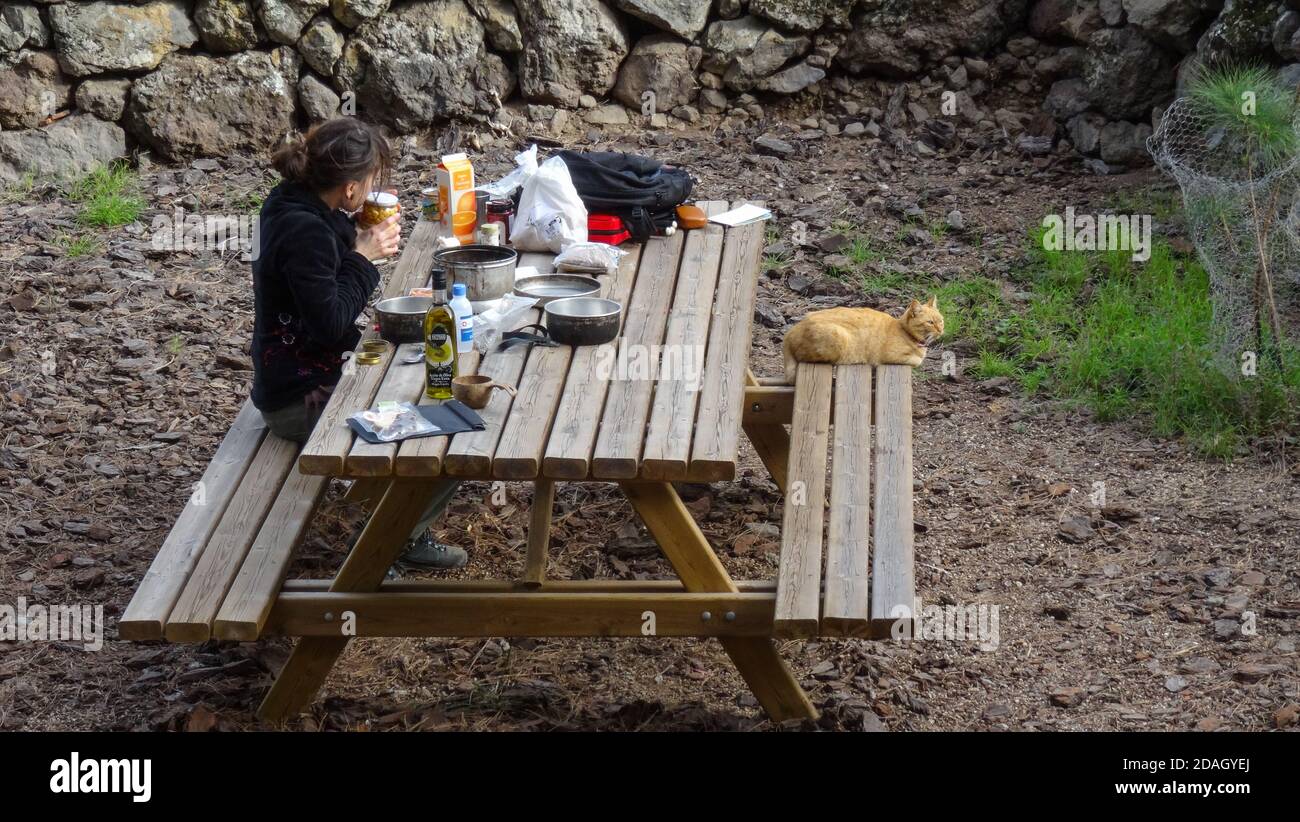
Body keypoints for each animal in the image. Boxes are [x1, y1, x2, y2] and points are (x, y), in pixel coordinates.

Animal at [780, 296, 946, 379]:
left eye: (941, 320)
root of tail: (790, 331)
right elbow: (916, 360)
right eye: (930, 322)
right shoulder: (891, 357)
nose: (941, 330)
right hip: (837, 338)